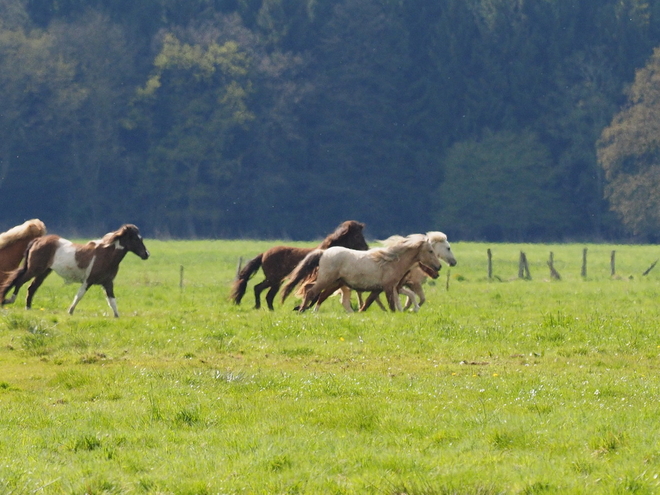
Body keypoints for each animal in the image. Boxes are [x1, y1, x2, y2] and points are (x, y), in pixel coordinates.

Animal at [0, 225, 150, 318]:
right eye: (135, 238)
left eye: (141, 238)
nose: (146, 254)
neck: (106, 255)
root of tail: (37, 240)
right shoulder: (88, 281)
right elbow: (79, 295)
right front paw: (70, 311)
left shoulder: (108, 283)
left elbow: (112, 300)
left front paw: (117, 316)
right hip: (34, 269)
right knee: (19, 282)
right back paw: (8, 300)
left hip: (44, 272)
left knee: (31, 287)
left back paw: (28, 308)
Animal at [229, 221, 368, 310]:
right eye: (357, 235)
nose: (366, 248)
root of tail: (264, 254)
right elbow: (313, 294)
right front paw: (300, 307)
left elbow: (315, 295)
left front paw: (301, 307)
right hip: (273, 279)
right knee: (258, 288)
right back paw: (258, 307)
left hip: (277, 281)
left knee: (268, 295)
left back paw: (271, 309)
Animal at [282, 234, 440, 312]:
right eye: (430, 251)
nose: (438, 267)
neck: (391, 262)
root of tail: (323, 253)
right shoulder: (389, 287)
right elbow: (392, 306)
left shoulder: (379, 289)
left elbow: (367, 305)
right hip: (327, 280)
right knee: (312, 292)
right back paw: (302, 310)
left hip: (334, 283)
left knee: (317, 293)